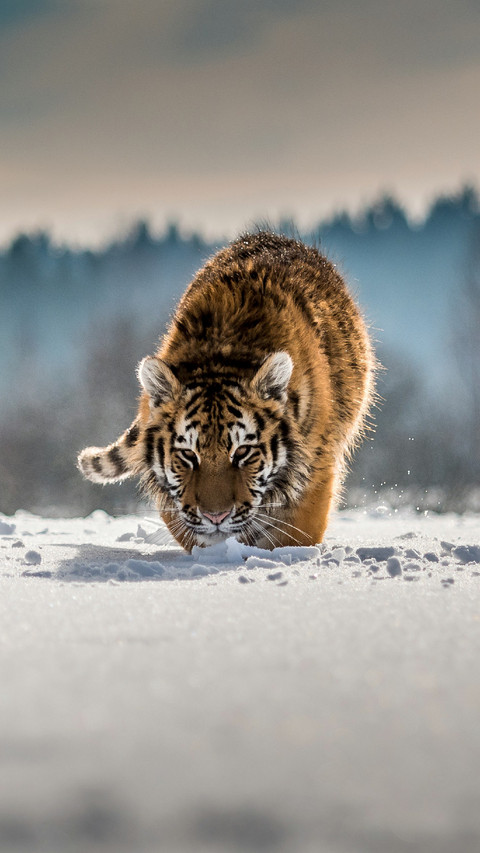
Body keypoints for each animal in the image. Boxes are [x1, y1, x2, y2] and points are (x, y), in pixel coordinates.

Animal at [78, 231, 375, 551]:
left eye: (242, 452)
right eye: (188, 455)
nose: (215, 516)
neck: (221, 355)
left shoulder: (317, 468)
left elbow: (294, 535)